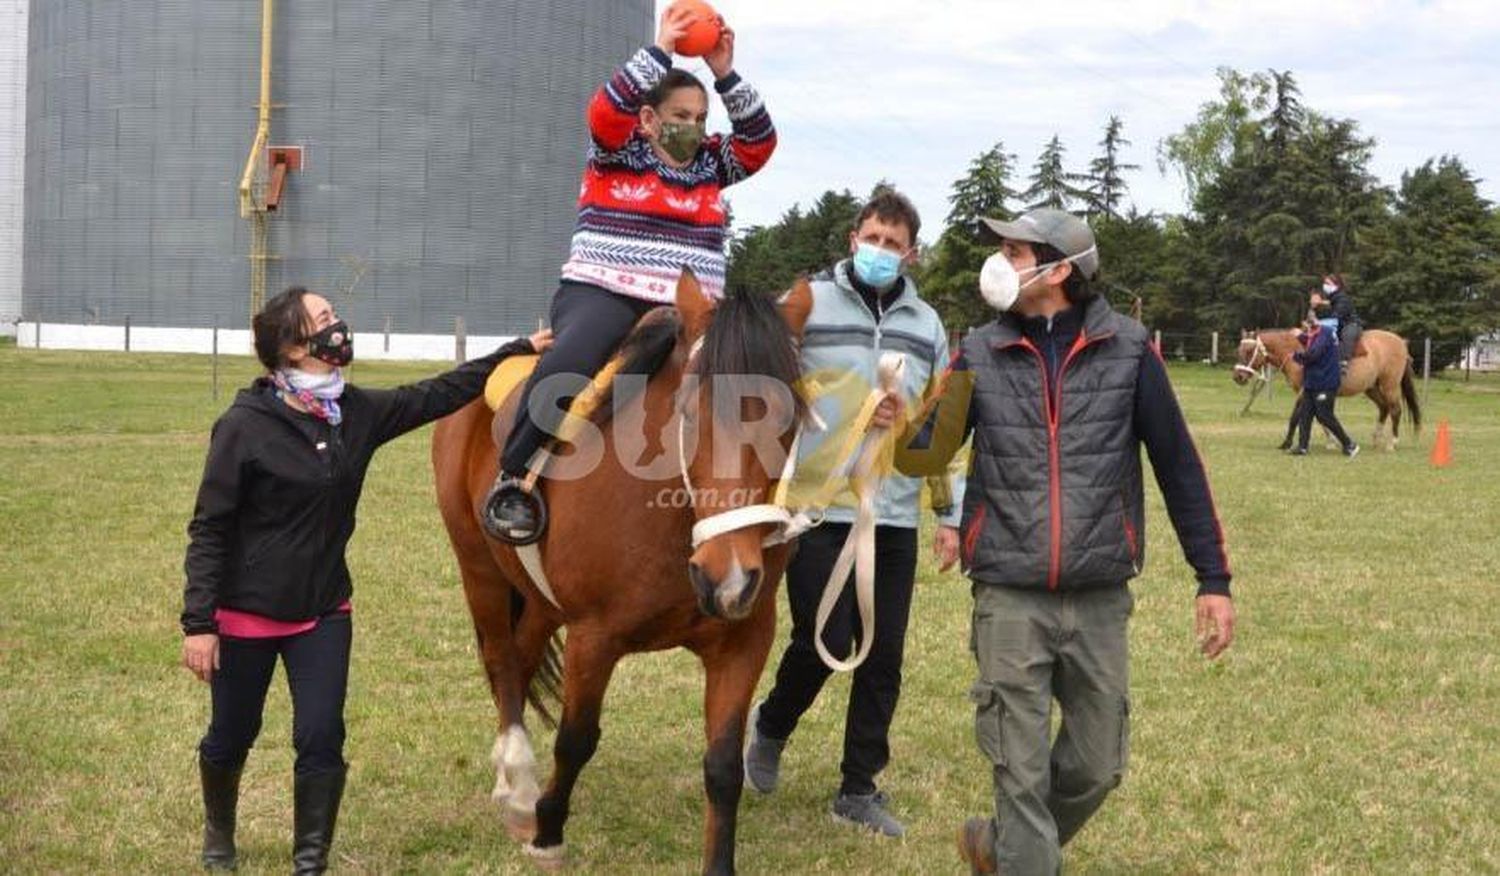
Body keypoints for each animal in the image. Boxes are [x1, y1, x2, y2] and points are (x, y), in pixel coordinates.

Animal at [429, 273, 816, 876]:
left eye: (790, 418)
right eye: (690, 413)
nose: (726, 578)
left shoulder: (744, 639)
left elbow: (723, 766)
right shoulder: (594, 636)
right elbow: (576, 739)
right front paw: (547, 833)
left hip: (540, 601)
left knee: (520, 656)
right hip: (479, 567)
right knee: (501, 660)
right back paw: (517, 782)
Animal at [1230, 328, 1416, 453]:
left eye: (1249, 351)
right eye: (1238, 351)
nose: (1238, 377)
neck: (1297, 352)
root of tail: (1401, 342)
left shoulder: (1304, 391)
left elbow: (1297, 417)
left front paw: (1287, 443)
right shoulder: (1312, 393)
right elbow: (1319, 418)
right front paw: (1331, 442)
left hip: (1390, 386)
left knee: (1395, 410)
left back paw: (1392, 443)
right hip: (1371, 388)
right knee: (1384, 408)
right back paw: (1376, 440)